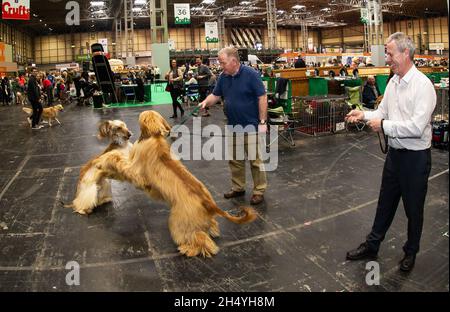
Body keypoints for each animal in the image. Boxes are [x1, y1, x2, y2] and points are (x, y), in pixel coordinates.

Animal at [94, 111, 256, 258]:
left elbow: (117, 160)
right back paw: (212, 231)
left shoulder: (137, 174)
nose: (129, 134)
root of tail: (209, 203)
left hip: (179, 222)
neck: (154, 137)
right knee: (210, 228)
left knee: (200, 239)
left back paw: (189, 249)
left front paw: (103, 162)